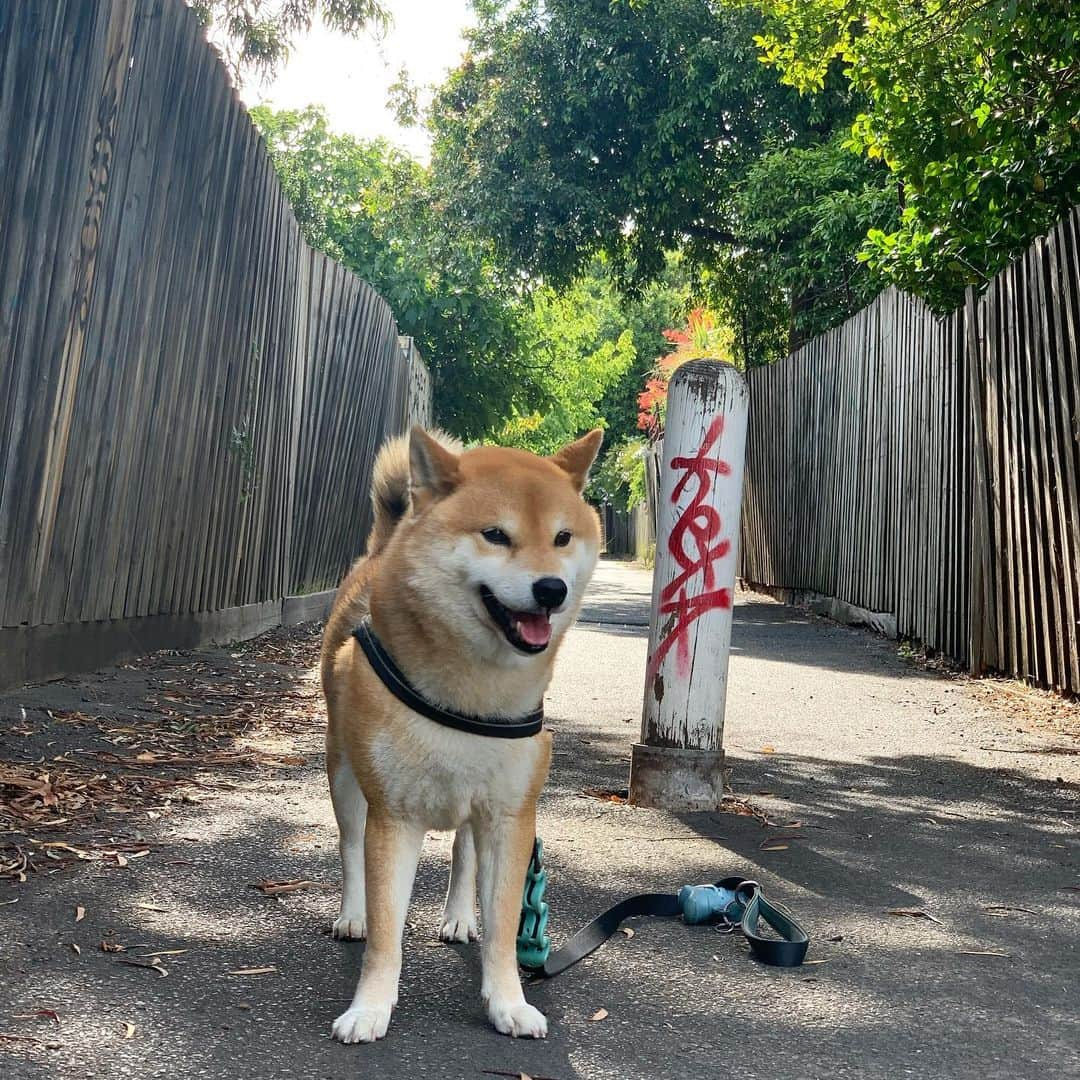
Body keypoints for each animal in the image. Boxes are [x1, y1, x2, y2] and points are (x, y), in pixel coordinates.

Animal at [319, 425, 604, 1041]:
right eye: (495, 535)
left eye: (562, 537)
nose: (551, 589)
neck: (471, 694)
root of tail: (380, 551)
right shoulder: (394, 818)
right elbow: (386, 931)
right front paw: (370, 1006)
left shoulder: (511, 815)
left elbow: (501, 923)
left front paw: (507, 1002)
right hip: (346, 778)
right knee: (350, 849)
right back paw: (351, 913)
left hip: (476, 804)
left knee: (462, 854)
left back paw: (455, 917)